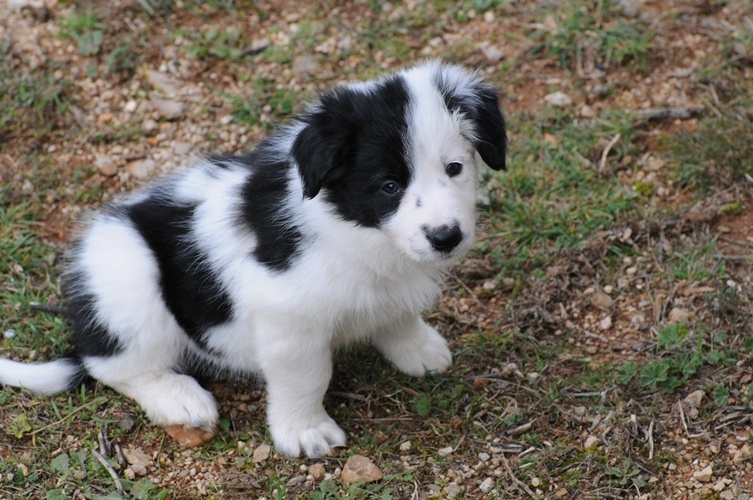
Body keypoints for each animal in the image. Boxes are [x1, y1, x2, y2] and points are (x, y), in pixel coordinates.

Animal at [1, 59, 506, 458]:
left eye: (455, 169)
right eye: (388, 186)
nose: (446, 237)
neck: (354, 229)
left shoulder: (389, 282)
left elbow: (397, 314)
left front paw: (418, 349)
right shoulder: (289, 318)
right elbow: (307, 377)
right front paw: (305, 432)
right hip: (128, 276)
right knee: (113, 364)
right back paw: (178, 397)